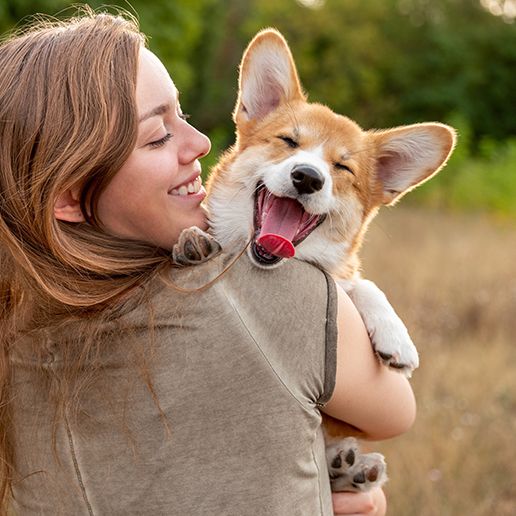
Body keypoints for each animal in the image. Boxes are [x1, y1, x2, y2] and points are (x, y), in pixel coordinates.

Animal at [174, 27, 456, 492]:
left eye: (343, 168)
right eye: (288, 141)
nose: (307, 177)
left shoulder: (342, 276)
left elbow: (362, 283)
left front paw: (397, 339)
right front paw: (193, 240)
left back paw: (352, 468)